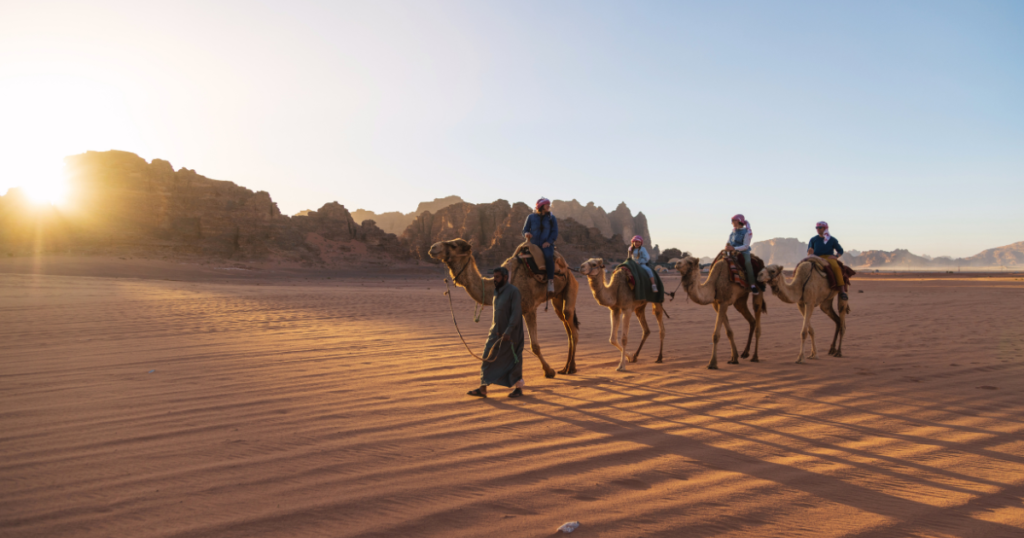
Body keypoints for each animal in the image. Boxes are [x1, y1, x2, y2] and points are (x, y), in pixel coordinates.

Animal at [428, 238, 581, 377]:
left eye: (454, 245)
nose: (433, 248)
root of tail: (566, 267)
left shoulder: (529, 308)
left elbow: (535, 346)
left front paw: (549, 371)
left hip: (571, 284)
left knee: (571, 326)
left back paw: (571, 367)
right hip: (557, 297)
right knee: (566, 325)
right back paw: (566, 367)